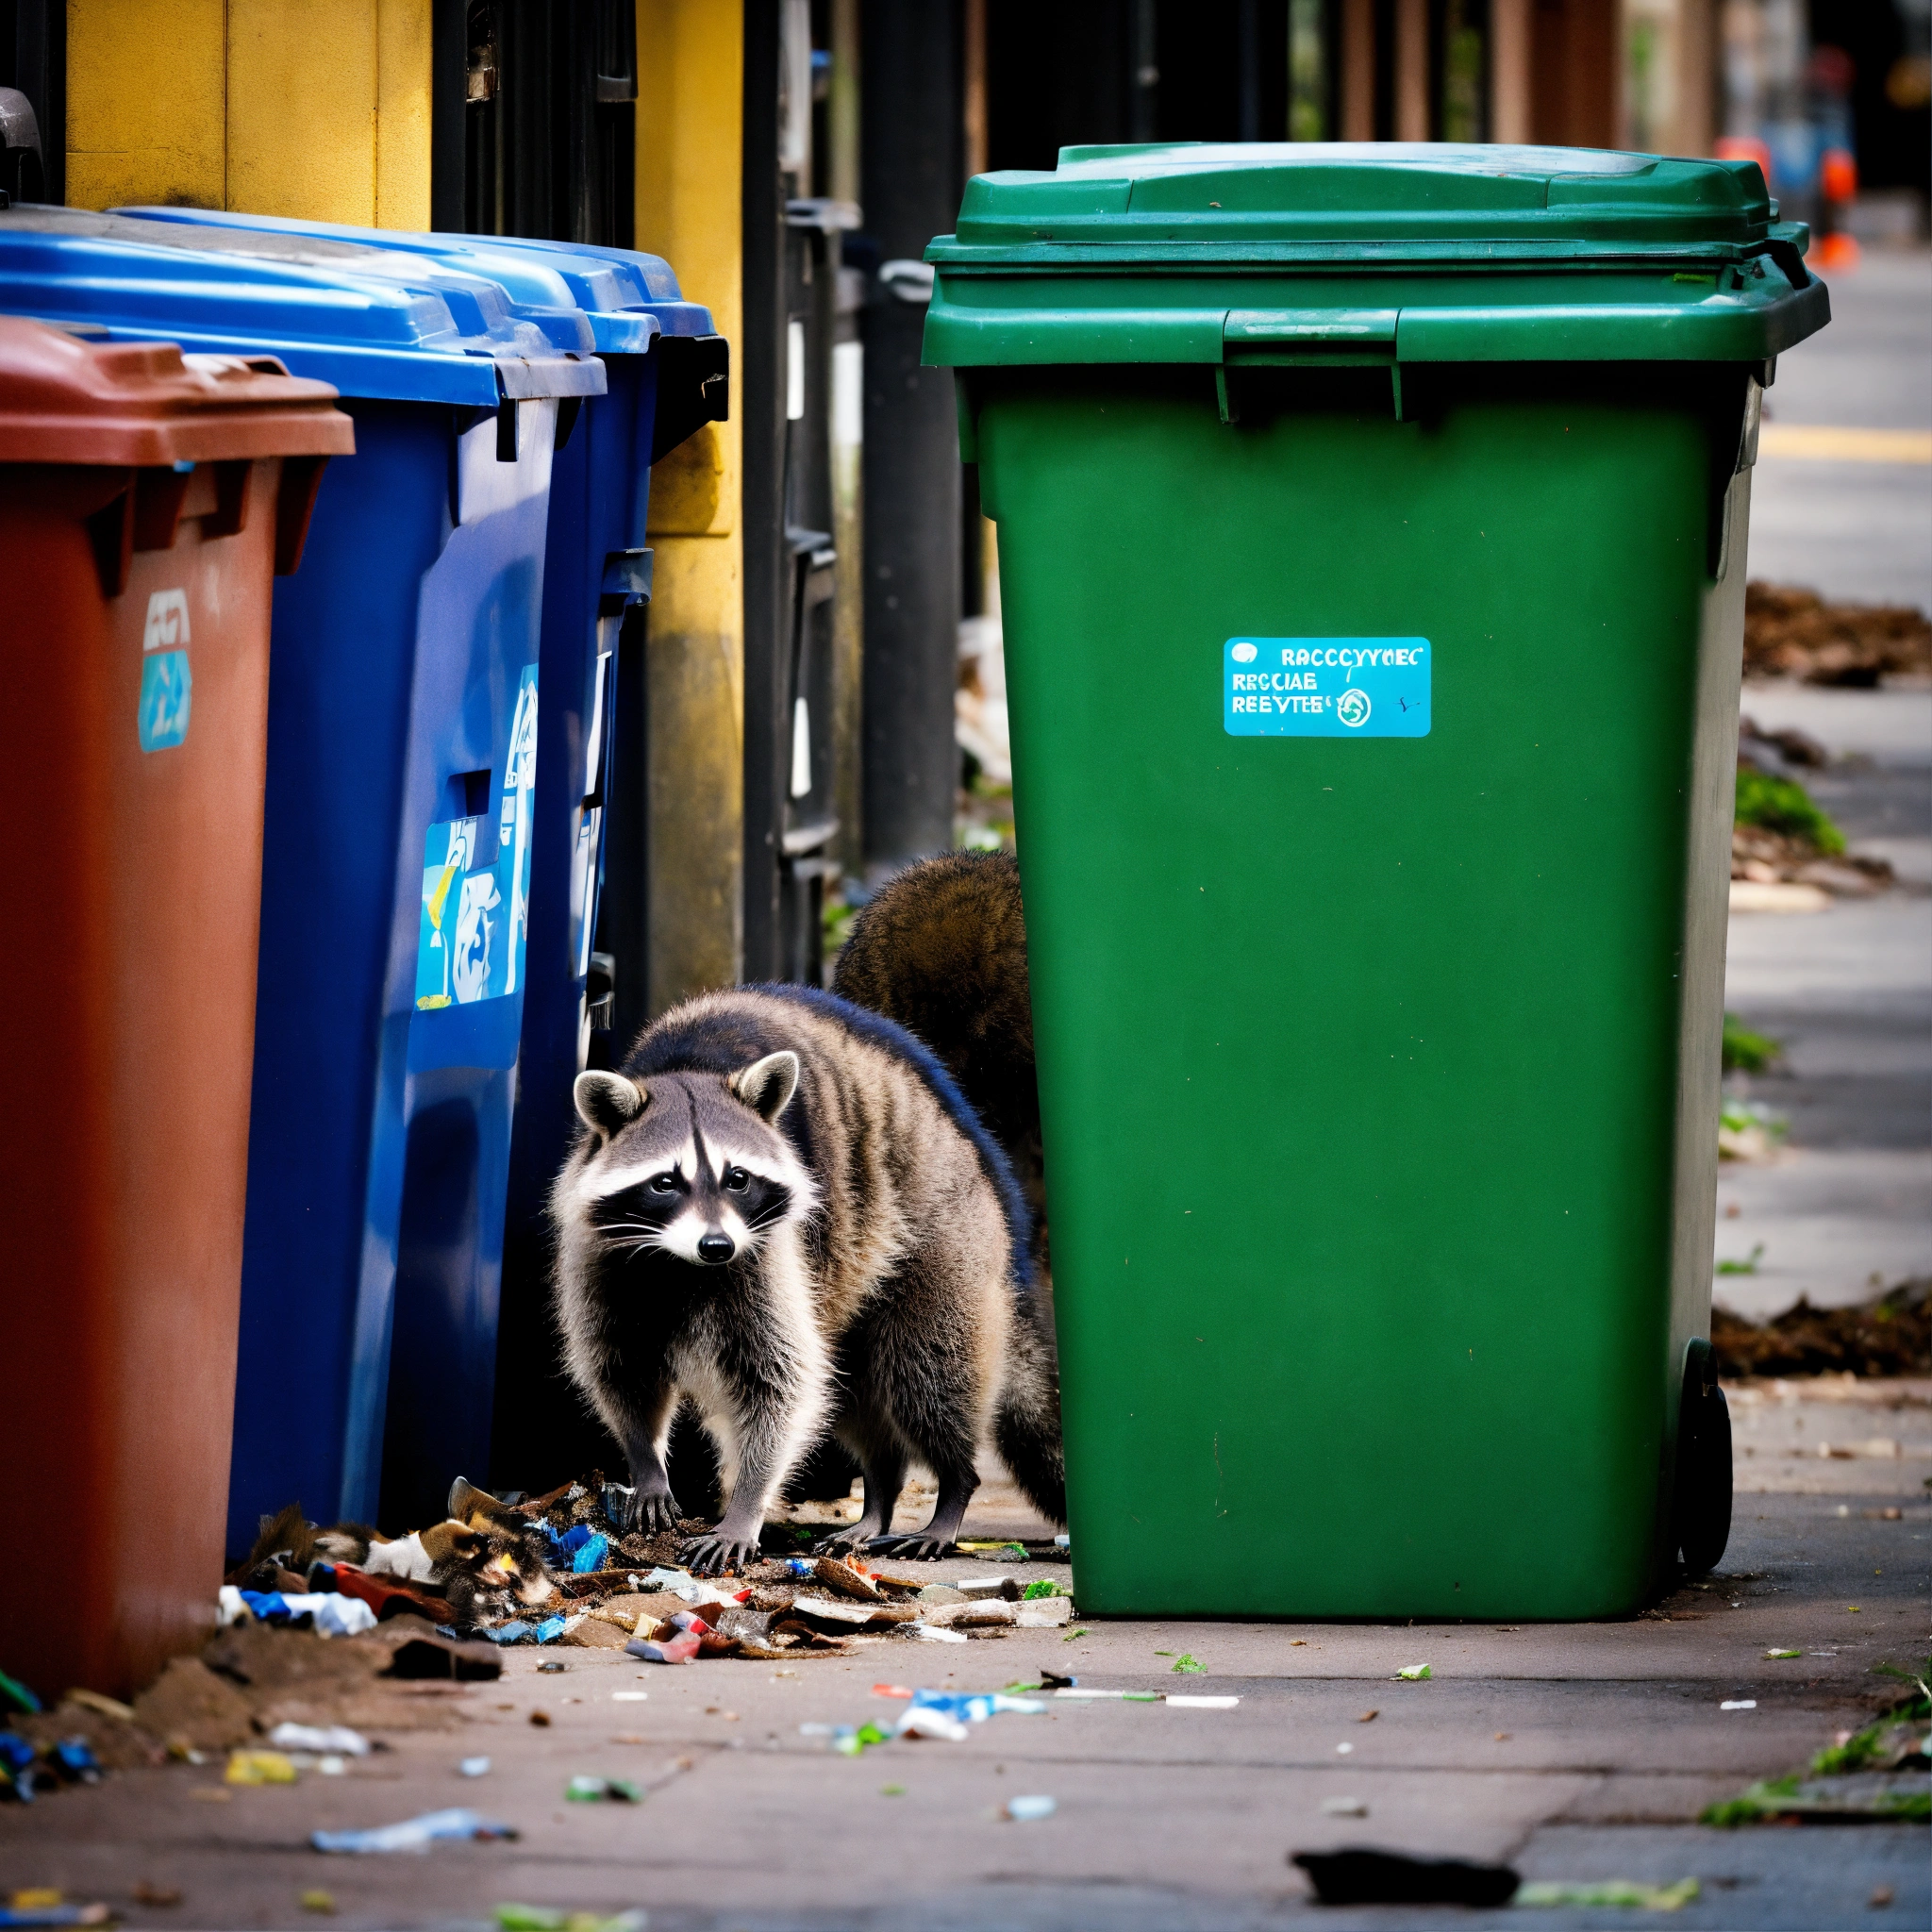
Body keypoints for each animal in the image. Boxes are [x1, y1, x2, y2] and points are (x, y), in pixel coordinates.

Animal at [550, 984, 1064, 1575]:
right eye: (664, 1183)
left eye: (737, 1178)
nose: (716, 1247)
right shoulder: (598, 1251)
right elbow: (619, 1363)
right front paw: (646, 1463)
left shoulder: (770, 1246)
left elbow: (779, 1380)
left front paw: (746, 1504)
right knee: (856, 1396)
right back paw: (880, 1493)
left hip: (945, 1236)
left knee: (928, 1375)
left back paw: (953, 1487)